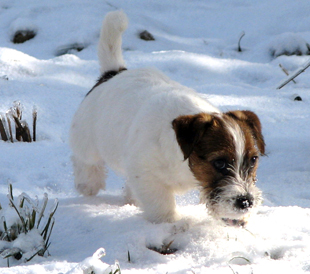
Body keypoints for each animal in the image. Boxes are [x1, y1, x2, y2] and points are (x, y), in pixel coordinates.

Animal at [69, 10, 266, 225]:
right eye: (220, 163)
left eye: (253, 160)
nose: (245, 202)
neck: (183, 160)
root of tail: (113, 73)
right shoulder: (146, 174)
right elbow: (160, 204)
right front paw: (167, 223)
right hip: (87, 140)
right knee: (85, 161)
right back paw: (88, 183)